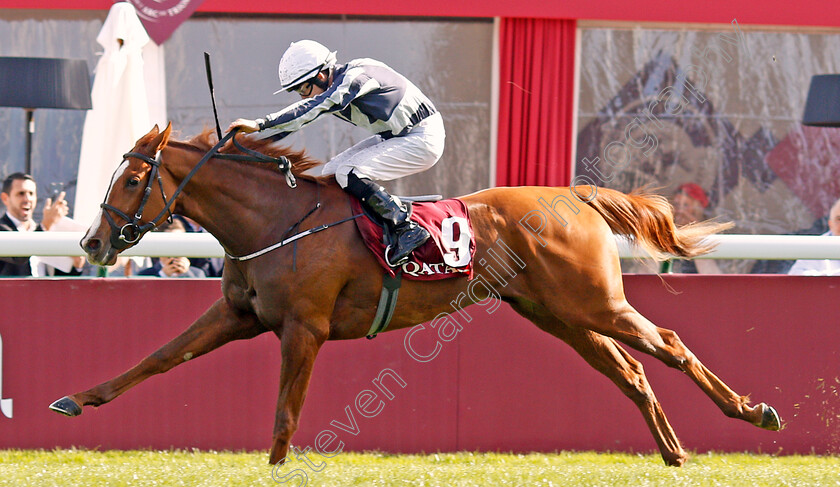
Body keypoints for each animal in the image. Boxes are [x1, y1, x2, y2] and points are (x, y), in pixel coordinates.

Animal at [50, 124, 780, 468]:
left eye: (133, 178)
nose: (92, 241)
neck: (275, 219)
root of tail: (573, 194)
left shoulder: (305, 329)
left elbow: (286, 414)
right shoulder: (238, 313)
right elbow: (157, 358)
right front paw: (76, 399)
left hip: (594, 304)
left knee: (671, 344)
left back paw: (754, 411)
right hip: (561, 316)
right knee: (631, 372)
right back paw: (673, 451)